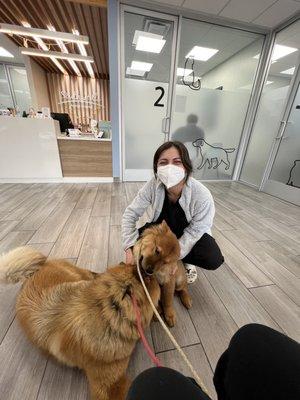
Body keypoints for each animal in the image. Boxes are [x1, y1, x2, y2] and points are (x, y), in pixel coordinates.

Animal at [0, 247, 161, 400]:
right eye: (149, 277)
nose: (147, 267)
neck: (108, 311)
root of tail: (30, 274)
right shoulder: (109, 385)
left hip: (79, 277)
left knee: (94, 275)